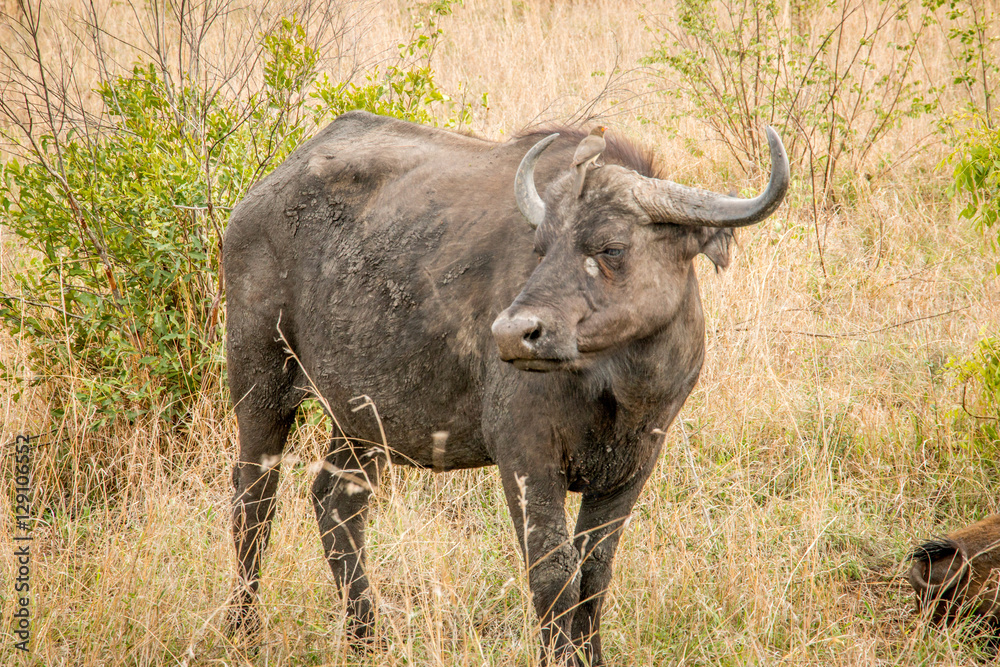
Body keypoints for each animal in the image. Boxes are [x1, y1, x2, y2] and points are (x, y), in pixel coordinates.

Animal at [225, 109, 788, 664]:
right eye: (541, 248)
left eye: (611, 248)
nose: (513, 333)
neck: (617, 384)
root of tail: (260, 195)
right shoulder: (525, 455)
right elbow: (554, 576)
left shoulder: (635, 463)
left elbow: (595, 574)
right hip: (259, 384)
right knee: (253, 503)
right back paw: (244, 631)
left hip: (362, 418)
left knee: (336, 502)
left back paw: (367, 639)